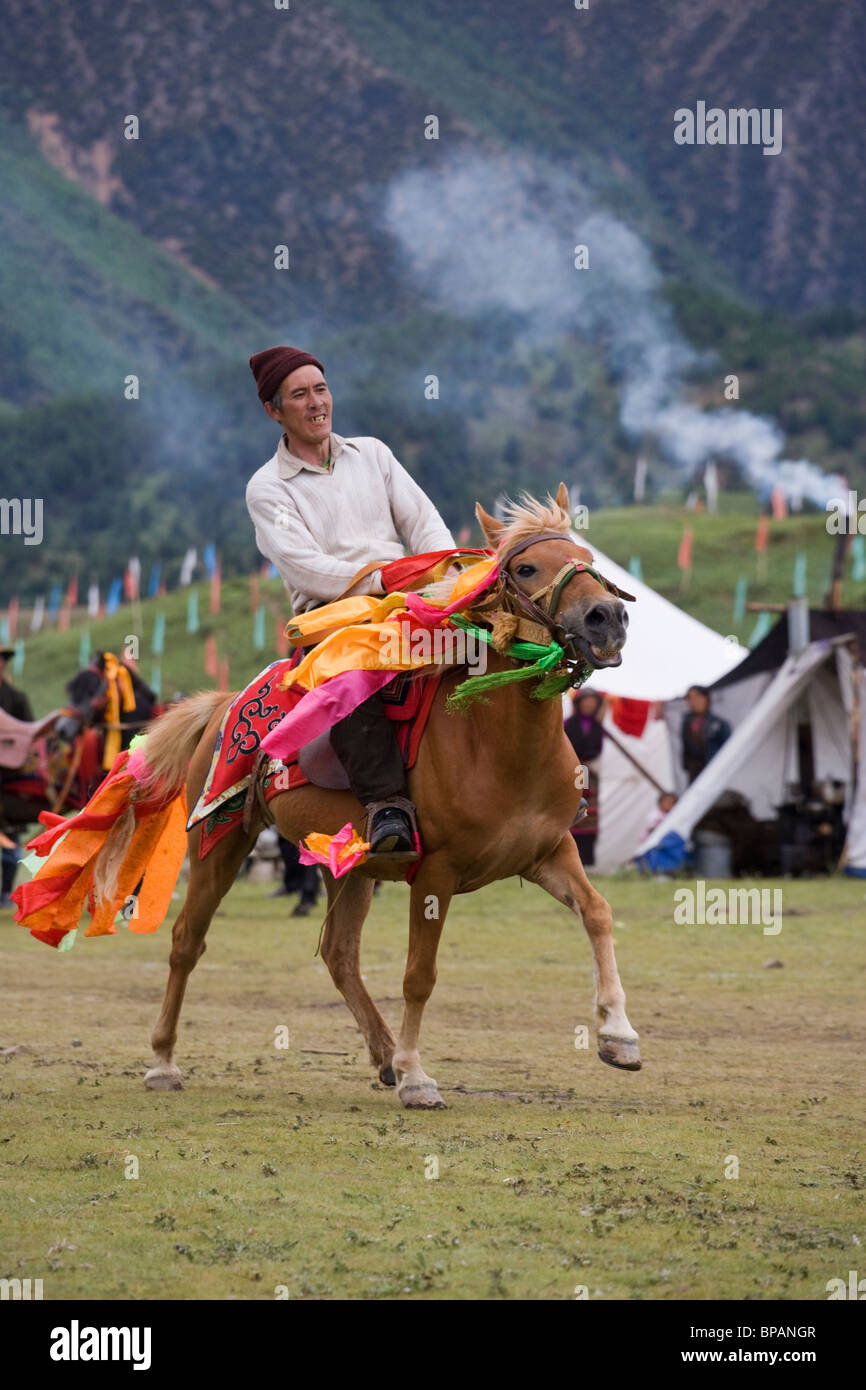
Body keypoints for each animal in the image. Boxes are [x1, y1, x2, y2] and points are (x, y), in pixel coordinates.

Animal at [134, 489, 636, 1106]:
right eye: (524, 568)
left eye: (587, 556)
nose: (606, 617)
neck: (498, 743)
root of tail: (227, 701)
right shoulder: (436, 873)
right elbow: (419, 976)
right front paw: (419, 1076)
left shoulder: (550, 852)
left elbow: (598, 913)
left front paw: (619, 1036)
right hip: (218, 840)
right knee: (187, 940)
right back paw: (163, 1061)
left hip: (347, 864)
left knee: (339, 955)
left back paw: (383, 1054)